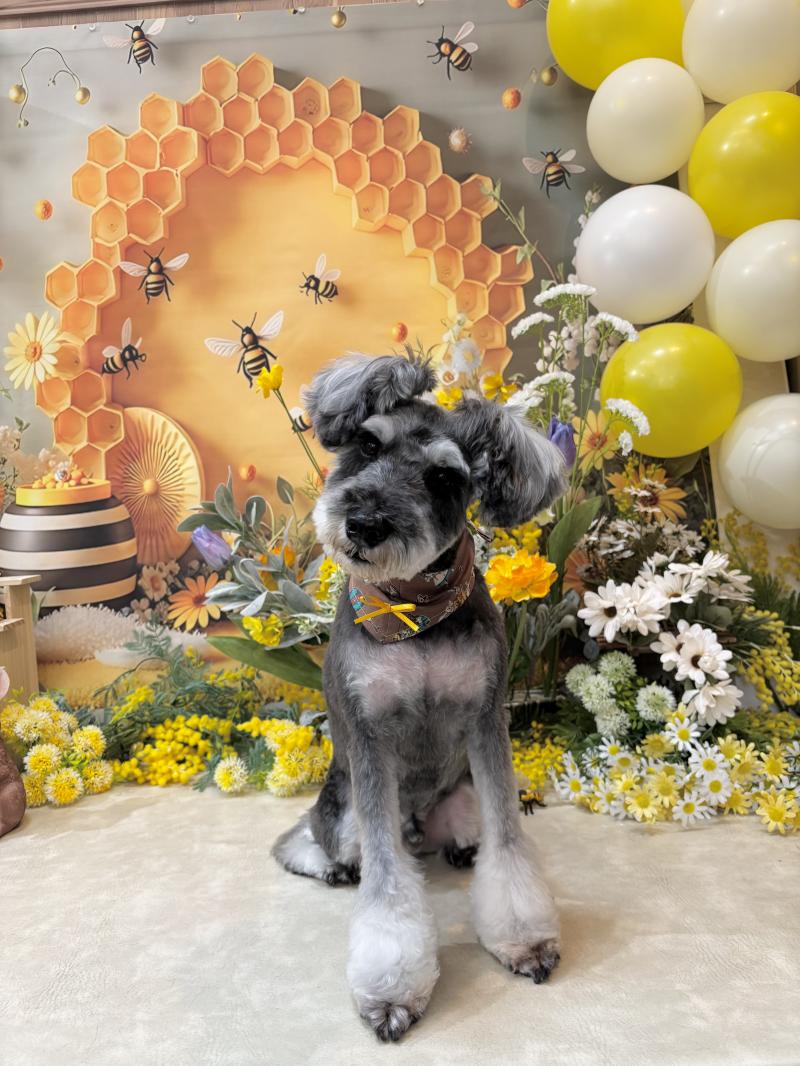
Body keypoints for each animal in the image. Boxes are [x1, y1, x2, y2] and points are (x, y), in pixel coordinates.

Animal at [273, 354, 566, 1041]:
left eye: (441, 476)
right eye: (366, 445)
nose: (363, 525)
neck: (413, 611)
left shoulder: (485, 720)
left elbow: (508, 843)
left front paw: (523, 938)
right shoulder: (370, 737)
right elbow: (385, 883)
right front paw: (391, 989)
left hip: (458, 798)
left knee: (464, 835)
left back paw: (459, 848)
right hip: (342, 809)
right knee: (311, 838)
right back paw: (331, 864)